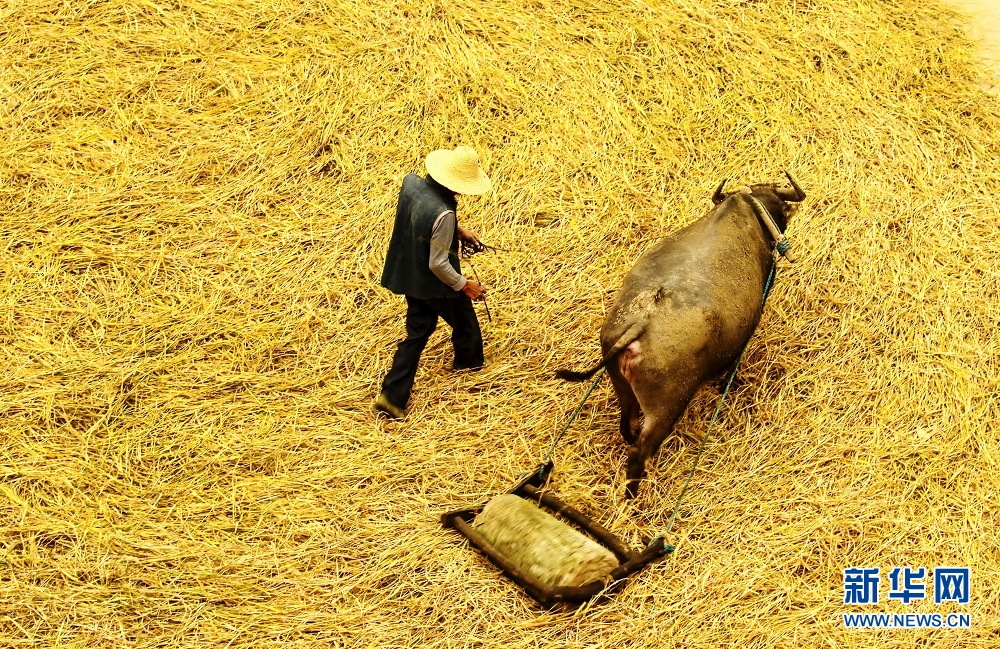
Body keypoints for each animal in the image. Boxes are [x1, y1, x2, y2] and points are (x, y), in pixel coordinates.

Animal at [560, 171, 808, 496]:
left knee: (627, 427)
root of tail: (641, 322)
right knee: (639, 451)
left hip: (623, 388)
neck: (747, 209)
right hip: (665, 409)